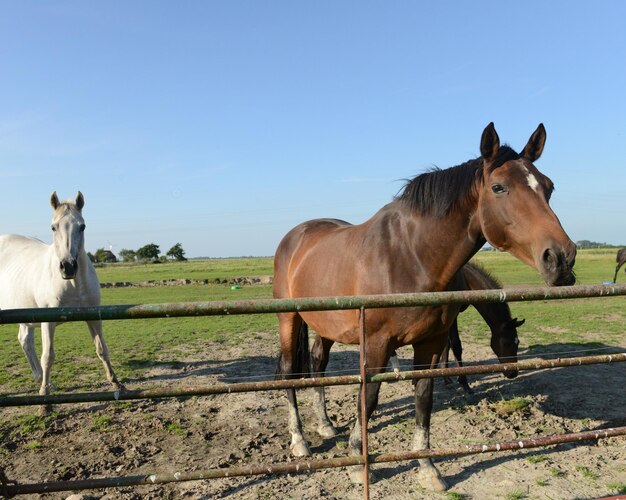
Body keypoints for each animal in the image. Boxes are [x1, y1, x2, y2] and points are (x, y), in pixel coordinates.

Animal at [0, 191, 121, 398]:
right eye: (53, 227)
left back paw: (42, 378)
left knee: (25, 341)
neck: (74, 284)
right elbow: (48, 356)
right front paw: (44, 392)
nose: (68, 266)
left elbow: (102, 349)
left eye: (82, 226)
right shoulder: (47, 321)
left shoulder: (93, 316)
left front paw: (116, 383)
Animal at [272, 123, 576, 490]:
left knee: (318, 363)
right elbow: (368, 398)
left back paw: (326, 424)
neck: (412, 256)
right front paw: (359, 462)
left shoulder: (431, 342)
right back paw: (299, 440)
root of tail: (296, 235)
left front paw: (427, 467)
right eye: (499, 187)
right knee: (289, 371)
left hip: (326, 325)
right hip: (289, 319)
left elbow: (424, 398)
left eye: (549, 186)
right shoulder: (376, 343)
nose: (561, 258)